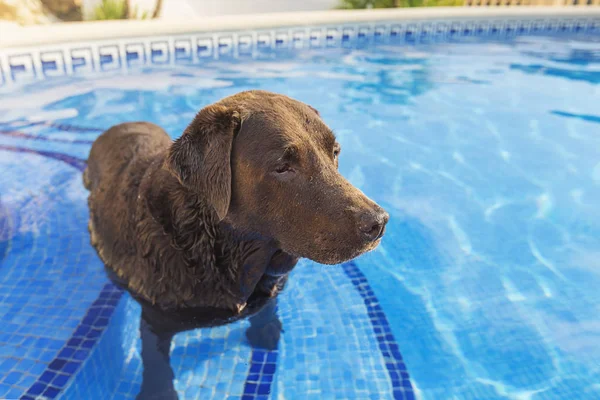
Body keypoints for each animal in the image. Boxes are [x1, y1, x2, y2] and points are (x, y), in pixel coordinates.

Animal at [84, 89, 390, 398]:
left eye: (335, 152)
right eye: (283, 167)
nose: (378, 223)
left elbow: (266, 306)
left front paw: (266, 328)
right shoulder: (155, 316)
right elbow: (155, 358)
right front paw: (159, 391)